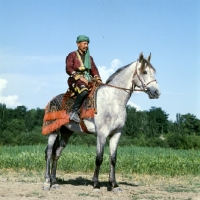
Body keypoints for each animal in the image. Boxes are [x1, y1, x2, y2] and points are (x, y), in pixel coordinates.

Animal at [43, 52, 161, 191]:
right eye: (144, 71)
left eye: (153, 71)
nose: (156, 92)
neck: (113, 100)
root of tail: (51, 101)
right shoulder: (101, 134)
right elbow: (99, 158)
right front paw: (96, 184)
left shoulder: (116, 134)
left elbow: (113, 158)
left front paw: (114, 184)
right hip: (53, 130)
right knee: (49, 152)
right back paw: (47, 182)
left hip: (66, 132)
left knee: (57, 153)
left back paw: (54, 182)